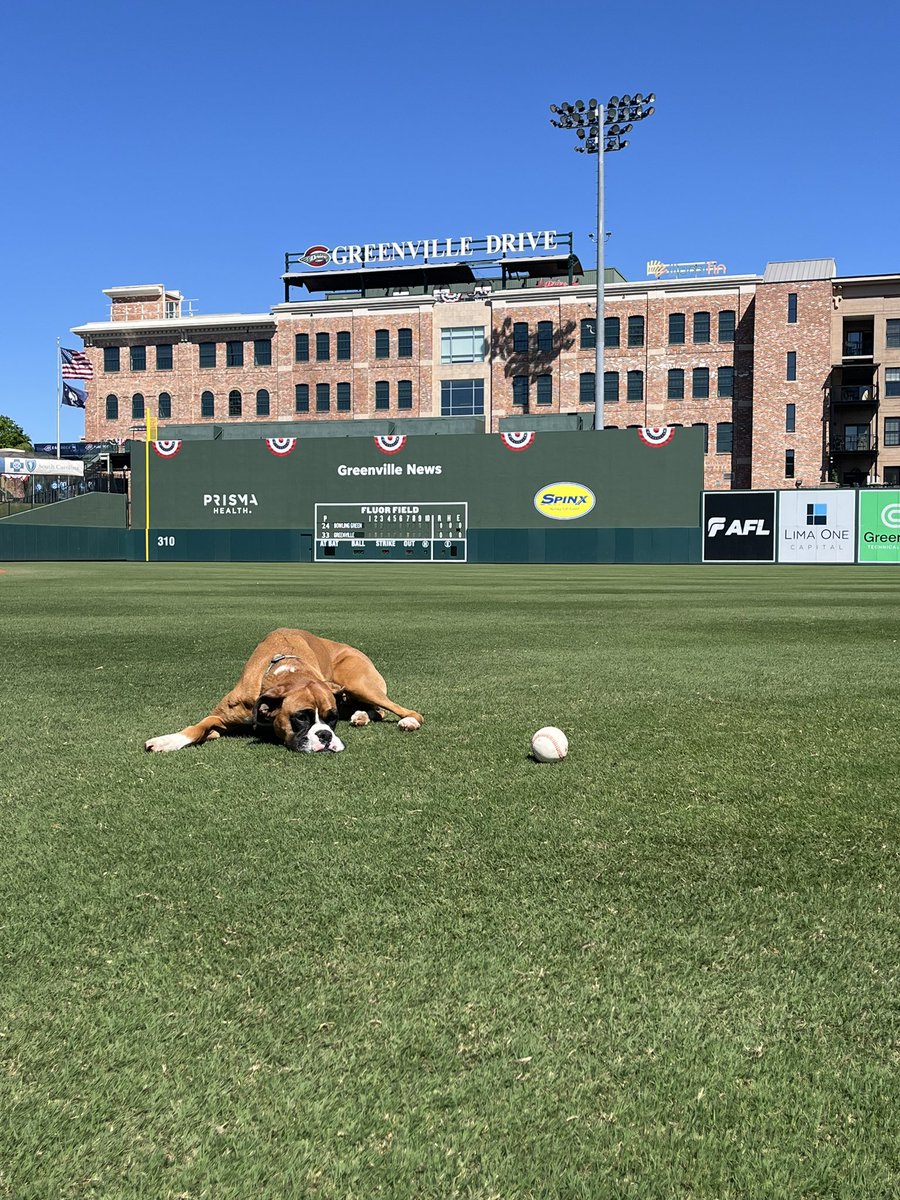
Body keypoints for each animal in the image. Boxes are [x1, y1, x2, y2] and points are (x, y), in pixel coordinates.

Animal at [145, 628, 427, 748]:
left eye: (332, 719)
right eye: (300, 717)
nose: (325, 736)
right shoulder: (220, 716)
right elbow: (198, 727)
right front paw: (167, 741)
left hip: (358, 684)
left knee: (399, 710)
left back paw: (408, 721)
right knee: (376, 710)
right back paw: (360, 716)